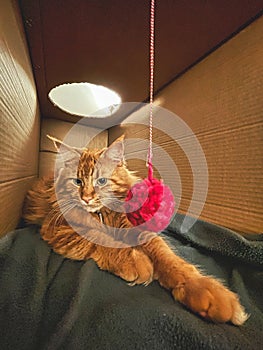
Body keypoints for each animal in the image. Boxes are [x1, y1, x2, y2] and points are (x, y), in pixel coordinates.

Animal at [23, 135, 250, 326]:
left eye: (101, 181)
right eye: (77, 181)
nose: (86, 198)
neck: (102, 213)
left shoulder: (133, 227)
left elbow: (167, 256)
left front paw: (199, 287)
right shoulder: (58, 230)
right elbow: (99, 239)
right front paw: (137, 261)